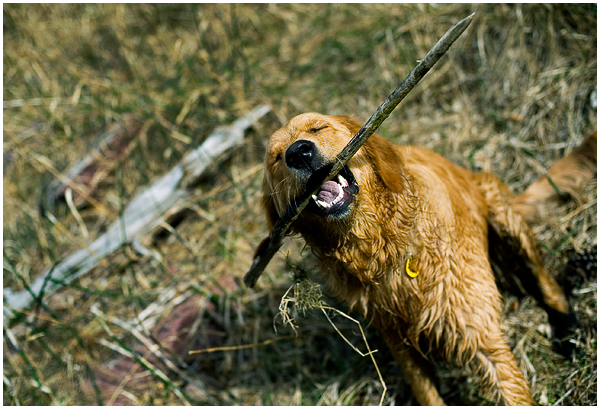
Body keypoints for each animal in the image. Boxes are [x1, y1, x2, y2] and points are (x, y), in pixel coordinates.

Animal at [260, 112, 594, 405]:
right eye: (275, 157)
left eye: (317, 127)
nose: (298, 152)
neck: (385, 250)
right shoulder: (401, 346)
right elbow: (427, 394)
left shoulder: (482, 335)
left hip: (504, 214)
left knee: (547, 283)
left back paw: (568, 332)